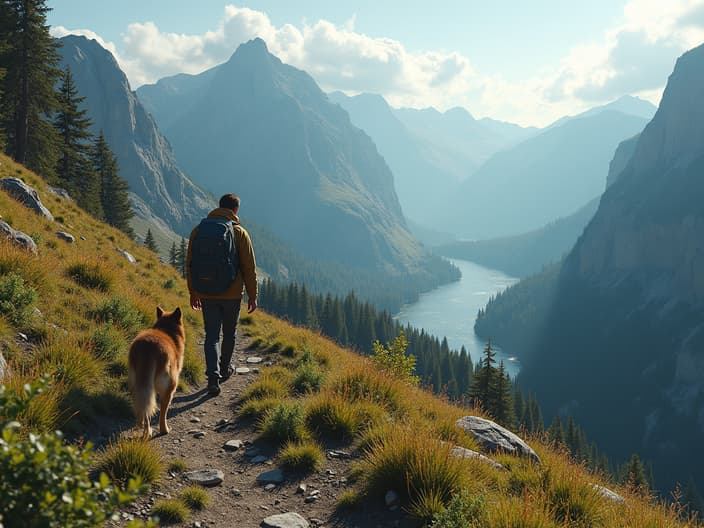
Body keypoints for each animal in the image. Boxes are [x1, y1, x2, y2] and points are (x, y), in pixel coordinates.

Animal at [128, 308, 186, 440]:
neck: (167, 331)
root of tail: (147, 349)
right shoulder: (169, 390)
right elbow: (163, 412)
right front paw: (164, 429)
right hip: (168, 387)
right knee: (160, 411)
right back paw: (163, 430)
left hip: (138, 384)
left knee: (142, 407)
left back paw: (144, 428)